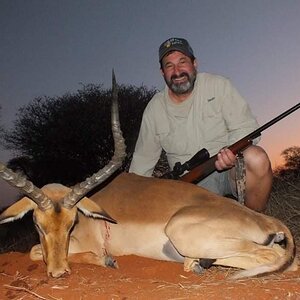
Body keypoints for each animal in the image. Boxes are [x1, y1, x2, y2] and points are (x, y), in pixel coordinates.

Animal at [0, 73, 296, 278]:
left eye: (72, 223)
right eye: (36, 223)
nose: (59, 272)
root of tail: (270, 221)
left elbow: (35, 251)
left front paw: (107, 261)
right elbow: (35, 249)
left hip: (183, 233)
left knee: (277, 258)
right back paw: (195, 264)